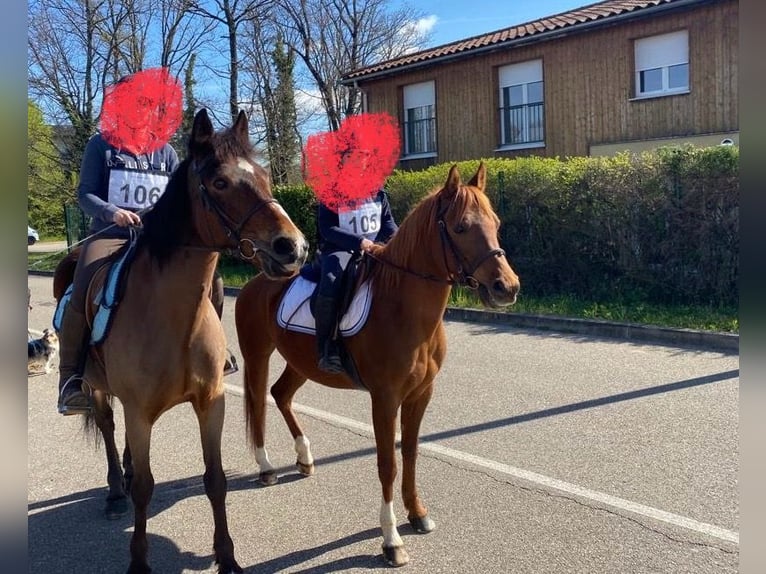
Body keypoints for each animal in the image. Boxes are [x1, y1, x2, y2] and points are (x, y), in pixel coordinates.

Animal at [51, 109, 310, 574]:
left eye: (263, 175)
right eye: (220, 182)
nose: (292, 248)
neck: (173, 320)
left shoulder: (210, 404)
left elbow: (215, 479)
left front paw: (227, 557)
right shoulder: (139, 412)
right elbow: (145, 488)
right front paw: (139, 561)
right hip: (95, 389)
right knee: (109, 429)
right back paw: (114, 491)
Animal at [234, 162, 520, 568]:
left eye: (495, 222)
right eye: (462, 226)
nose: (506, 287)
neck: (403, 307)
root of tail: (255, 283)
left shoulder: (420, 395)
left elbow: (410, 454)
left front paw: (417, 513)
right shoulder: (384, 399)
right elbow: (388, 463)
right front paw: (391, 539)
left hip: (300, 363)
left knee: (281, 394)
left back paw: (304, 457)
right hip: (257, 355)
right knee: (259, 402)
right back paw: (266, 467)